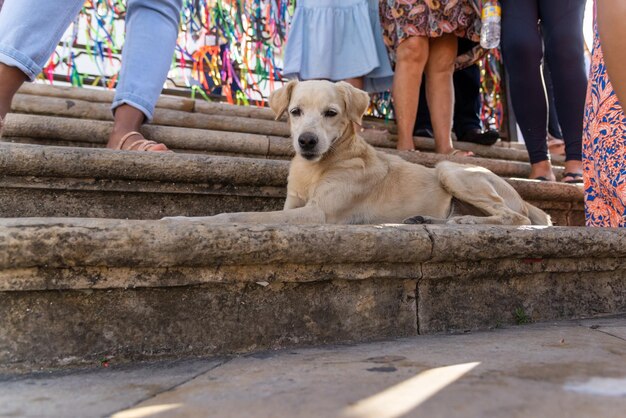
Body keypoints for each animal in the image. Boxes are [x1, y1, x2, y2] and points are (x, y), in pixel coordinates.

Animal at [167, 80, 552, 227]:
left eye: (331, 113)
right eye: (295, 112)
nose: (307, 142)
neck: (316, 169)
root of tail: (523, 198)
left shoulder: (317, 214)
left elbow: (237, 215)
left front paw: (182, 221)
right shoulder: (293, 207)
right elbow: (246, 213)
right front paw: (185, 218)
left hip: (449, 169)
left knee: (514, 218)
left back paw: (470, 223)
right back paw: (428, 221)